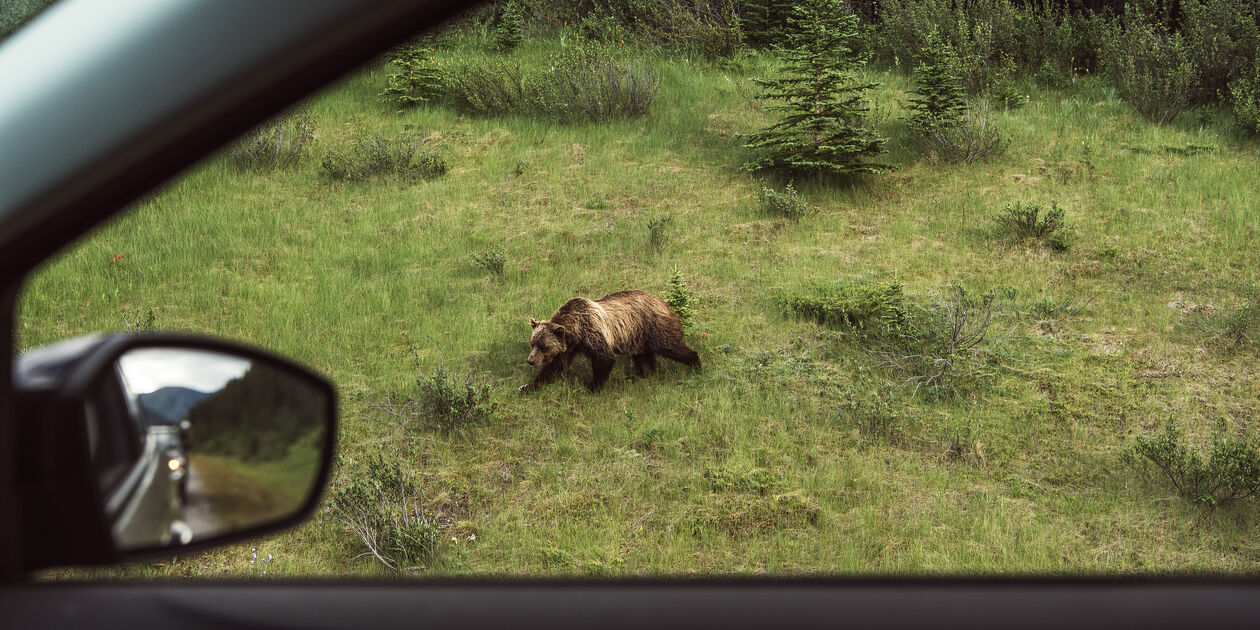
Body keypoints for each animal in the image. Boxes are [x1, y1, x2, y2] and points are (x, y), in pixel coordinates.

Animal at [521, 290, 700, 392]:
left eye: (543, 346)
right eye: (533, 343)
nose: (530, 361)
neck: (576, 332)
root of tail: (665, 303)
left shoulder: (592, 333)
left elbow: (604, 358)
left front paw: (591, 387)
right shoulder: (568, 348)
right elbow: (554, 367)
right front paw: (528, 387)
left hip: (654, 327)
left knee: (671, 346)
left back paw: (696, 364)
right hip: (638, 336)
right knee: (643, 357)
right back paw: (643, 374)